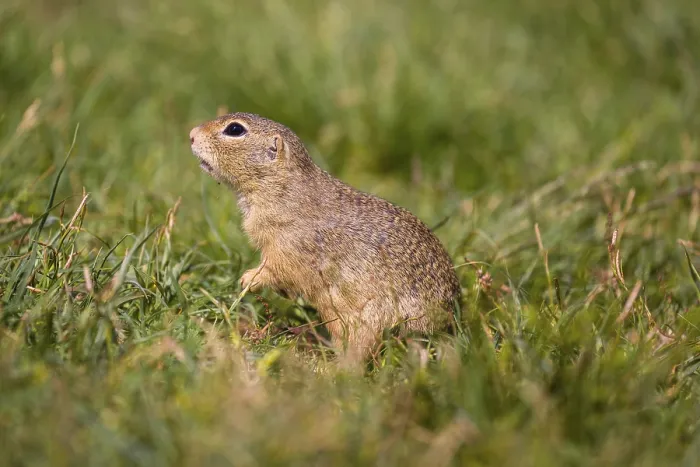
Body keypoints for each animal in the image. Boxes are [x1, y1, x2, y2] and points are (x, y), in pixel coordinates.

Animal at [189, 112, 461, 361]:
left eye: (235, 129)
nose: (191, 134)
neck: (282, 189)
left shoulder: (289, 246)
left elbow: (276, 268)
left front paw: (248, 279)